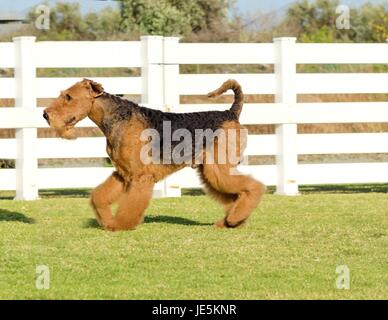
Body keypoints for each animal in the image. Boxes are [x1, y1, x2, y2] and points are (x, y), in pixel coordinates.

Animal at [43, 79, 266, 231]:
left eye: (69, 97)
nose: (45, 114)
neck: (117, 119)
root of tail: (231, 113)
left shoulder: (140, 177)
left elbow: (129, 207)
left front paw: (120, 225)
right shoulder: (122, 174)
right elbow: (99, 196)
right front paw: (107, 221)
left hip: (218, 168)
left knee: (253, 187)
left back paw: (234, 219)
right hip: (211, 171)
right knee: (237, 195)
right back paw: (230, 221)